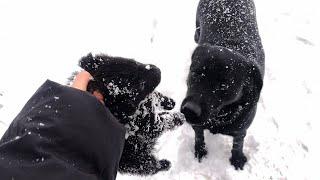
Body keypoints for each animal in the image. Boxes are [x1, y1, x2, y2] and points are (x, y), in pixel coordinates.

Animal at [180, 0, 264, 169]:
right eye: (196, 73)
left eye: (224, 85)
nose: (189, 110)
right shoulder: (198, 125)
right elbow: (199, 136)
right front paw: (200, 152)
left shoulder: (241, 128)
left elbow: (238, 142)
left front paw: (237, 159)